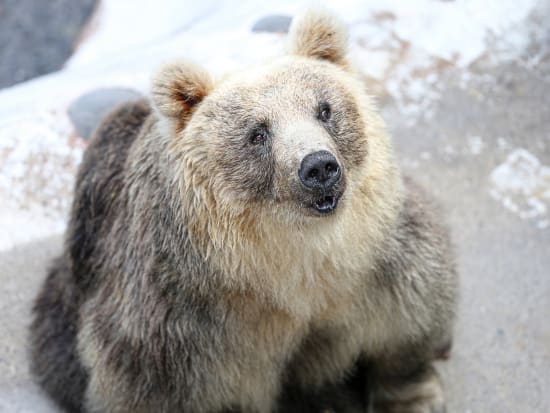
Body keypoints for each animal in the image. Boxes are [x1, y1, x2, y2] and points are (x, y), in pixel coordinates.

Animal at [32, 8, 460, 412]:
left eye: (324, 109)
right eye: (258, 133)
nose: (319, 167)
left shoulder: (375, 269)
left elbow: (406, 322)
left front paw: (412, 397)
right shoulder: (177, 317)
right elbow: (146, 380)